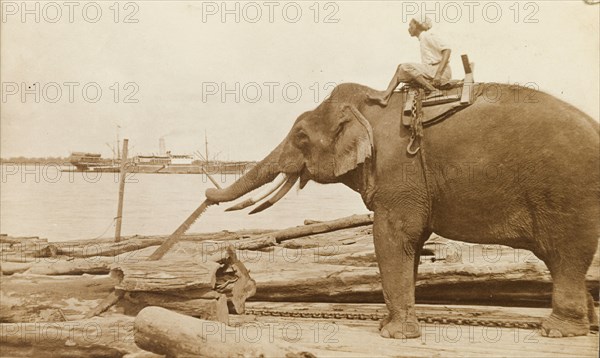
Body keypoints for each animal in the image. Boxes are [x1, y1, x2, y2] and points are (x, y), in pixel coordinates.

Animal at [204, 83, 596, 338]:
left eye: (300, 136)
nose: (208, 194)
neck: (369, 107)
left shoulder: (399, 170)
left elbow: (390, 235)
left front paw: (393, 334)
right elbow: (412, 242)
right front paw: (392, 327)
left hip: (568, 193)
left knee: (565, 255)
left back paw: (557, 330)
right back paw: (584, 324)